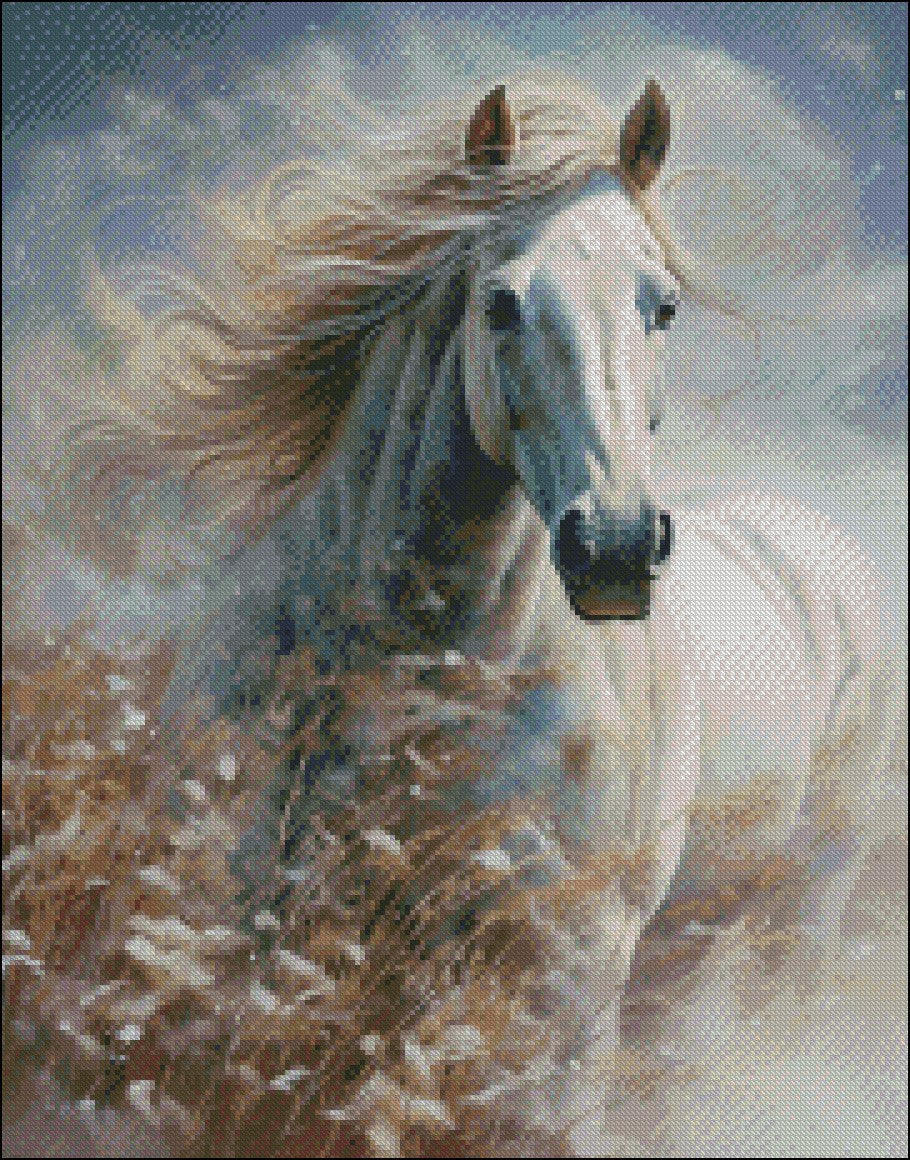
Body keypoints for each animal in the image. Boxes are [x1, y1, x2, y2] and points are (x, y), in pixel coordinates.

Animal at [140, 80, 883, 1148]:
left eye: (665, 304)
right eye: (499, 302)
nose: (615, 548)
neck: (406, 677)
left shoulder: (569, 968)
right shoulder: (256, 927)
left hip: (798, 915)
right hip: (691, 937)